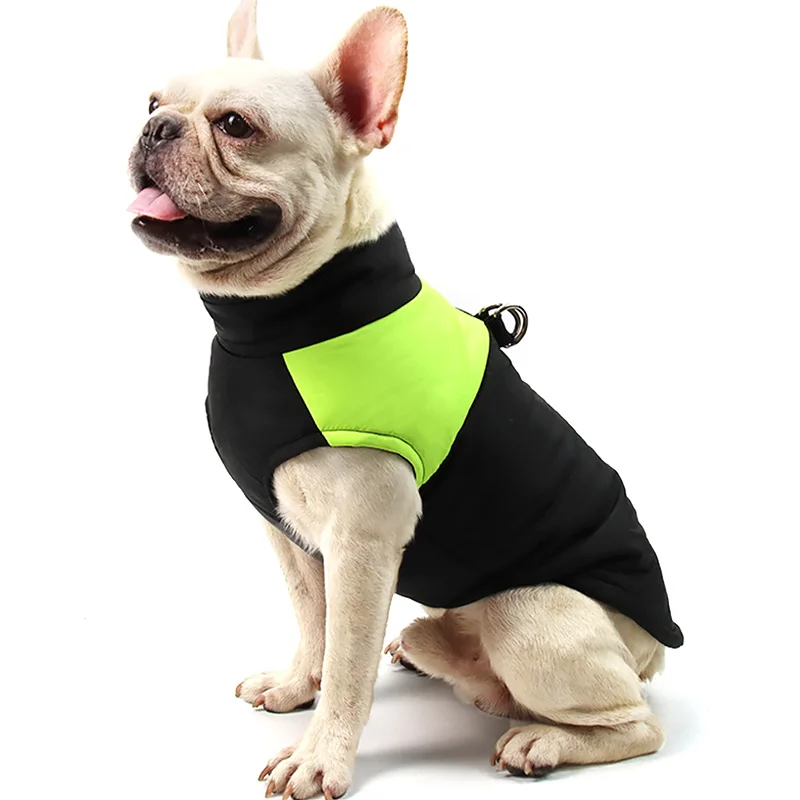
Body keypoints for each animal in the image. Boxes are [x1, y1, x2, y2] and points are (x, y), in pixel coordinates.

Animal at [128, 2, 683, 797]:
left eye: (236, 126)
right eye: (150, 103)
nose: (157, 129)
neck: (282, 320)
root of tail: (653, 649)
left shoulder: (363, 544)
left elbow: (348, 665)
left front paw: (321, 756)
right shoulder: (286, 530)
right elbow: (314, 620)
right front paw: (298, 684)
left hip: (530, 611)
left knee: (636, 722)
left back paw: (542, 741)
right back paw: (435, 654)